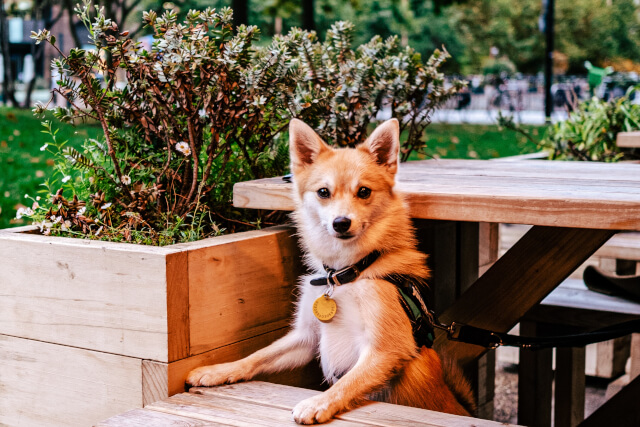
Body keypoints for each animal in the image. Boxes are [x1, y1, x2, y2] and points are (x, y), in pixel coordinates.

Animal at [185, 118, 476, 424]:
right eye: (323, 192)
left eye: (364, 191)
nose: (341, 222)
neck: (345, 274)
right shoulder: (306, 337)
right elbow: (259, 355)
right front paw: (219, 370)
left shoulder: (385, 350)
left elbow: (348, 382)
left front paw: (318, 403)